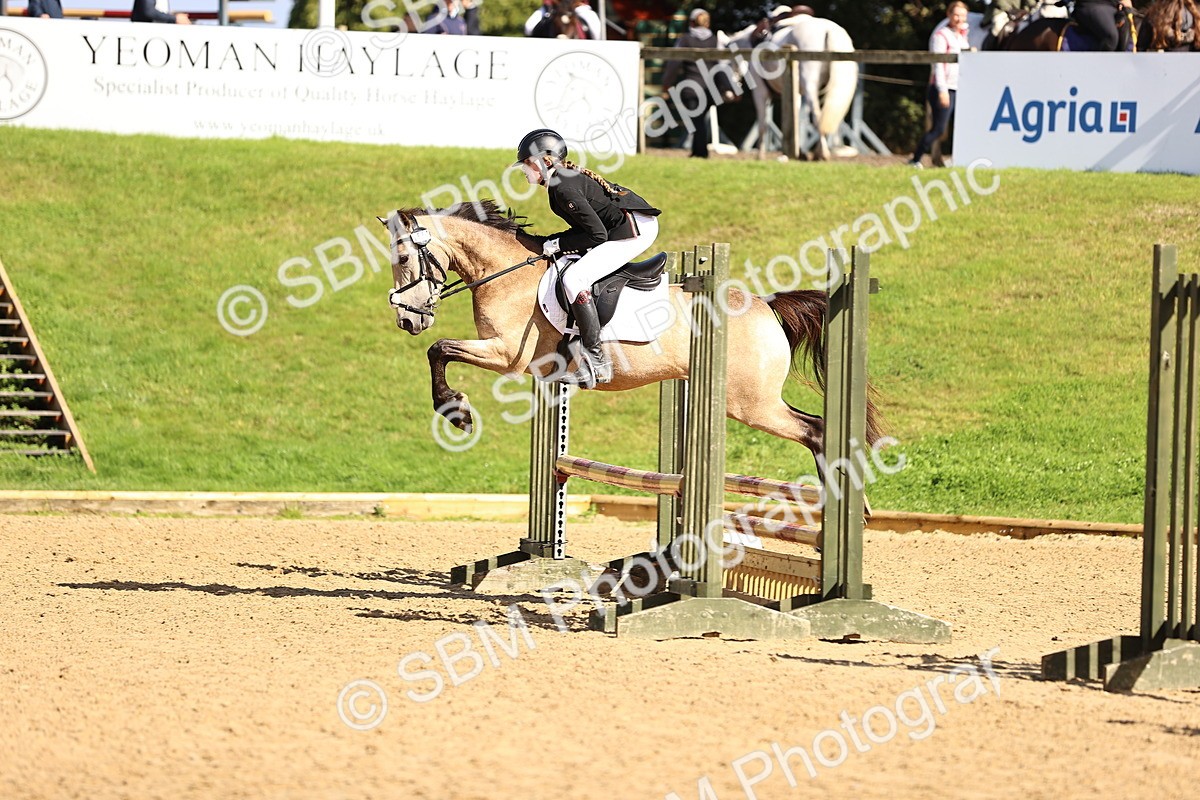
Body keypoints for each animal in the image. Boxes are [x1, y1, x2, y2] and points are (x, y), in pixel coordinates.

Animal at [378, 200, 883, 467]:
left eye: (402, 258)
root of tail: (766, 305)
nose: (407, 320)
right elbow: (439, 350)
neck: (506, 273)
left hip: (750, 403)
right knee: (816, 428)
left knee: (814, 431)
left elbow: (439, 349)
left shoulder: (507, 355)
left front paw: (456, 411)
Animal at [722, 14, 859, 161]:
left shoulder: (760, 92)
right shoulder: (796, 94)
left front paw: (760, 155)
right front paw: (798, 152)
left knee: (817, 116)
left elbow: (763, 124)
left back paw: (823, 153)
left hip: (810, 87)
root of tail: (829, 29)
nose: (730, 94)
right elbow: (795, 122)